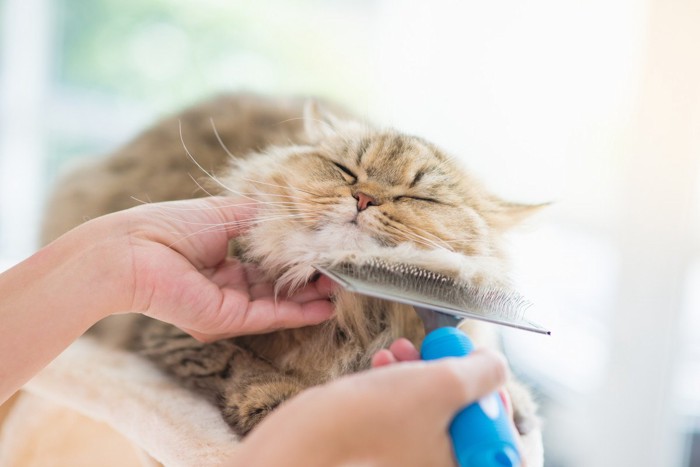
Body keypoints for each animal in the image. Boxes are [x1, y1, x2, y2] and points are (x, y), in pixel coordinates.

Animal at [42, 92, 540, 446]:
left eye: (418, 197)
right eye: (345, 170)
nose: (364, 198)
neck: (351, 320)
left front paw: (515, 404)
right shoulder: (168, 329)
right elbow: (236, 362)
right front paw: (276, 400)